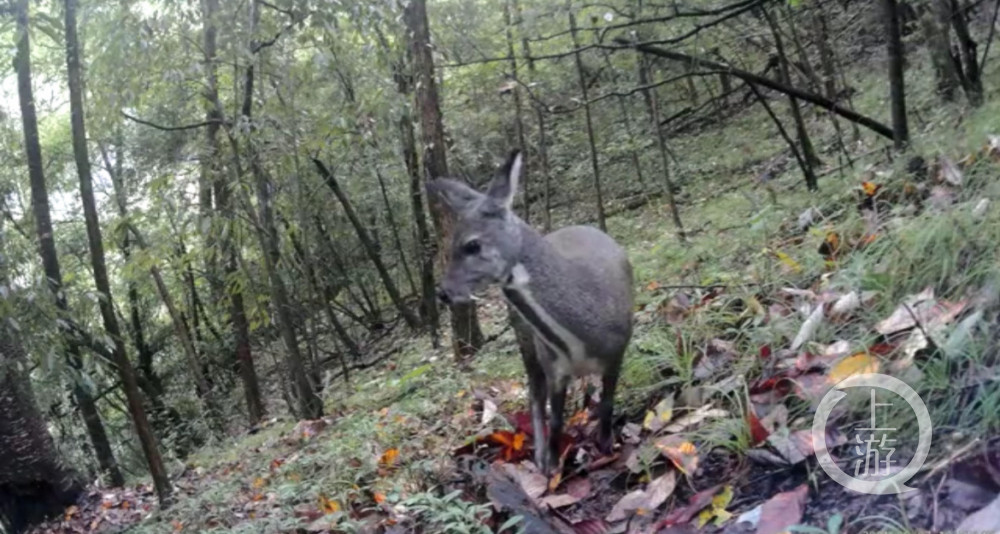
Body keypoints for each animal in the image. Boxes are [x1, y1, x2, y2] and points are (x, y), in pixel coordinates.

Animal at [428, 151, 632, 474]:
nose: (444, 292)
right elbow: (555, 419)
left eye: (472, 245)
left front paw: (605, 445)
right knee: (534, 396)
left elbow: (607, 402)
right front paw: (551, 467)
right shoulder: (553, 365)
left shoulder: (618, 347)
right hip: (525, 341)